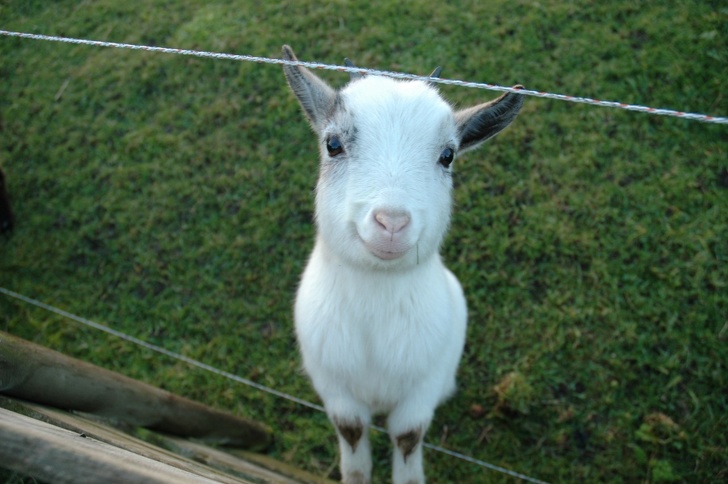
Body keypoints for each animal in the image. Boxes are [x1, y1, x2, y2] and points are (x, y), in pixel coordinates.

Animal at [282, 46, 524, 484]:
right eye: (333, 144)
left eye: (448, 155)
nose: (391, 223)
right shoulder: (334, 387)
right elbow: (352, 431)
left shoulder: (421, 387)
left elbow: (408, 436)